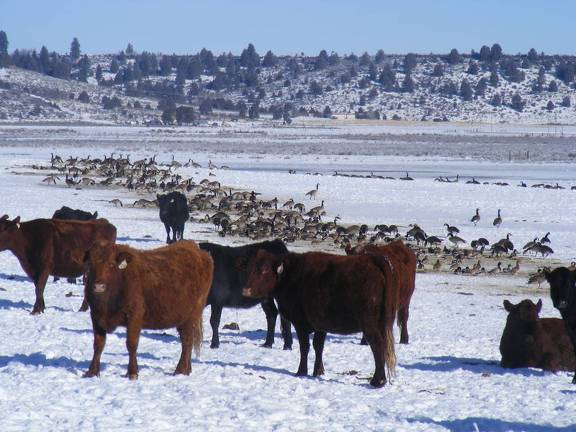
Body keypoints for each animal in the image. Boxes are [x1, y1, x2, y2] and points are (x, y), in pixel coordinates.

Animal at [82, 241, 213, 380]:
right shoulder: (96, 316)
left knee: (187, 341)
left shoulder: (134, 316)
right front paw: (92, 372)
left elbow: (131, 344)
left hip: (192, 315)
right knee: (187, 341)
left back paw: (180, 370)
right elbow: (98, 345)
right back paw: (187, 369)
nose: (99, 286)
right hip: (183, 318)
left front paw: (132, 372)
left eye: (111, 264)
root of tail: (198, 250)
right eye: (91, 264)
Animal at [242, 250, 396, 388]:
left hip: (369, 325)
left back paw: (378, 381)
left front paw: (301, 371)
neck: (291, 276)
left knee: (377, 345)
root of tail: (372, 260)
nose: (245, 290)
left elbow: (305, 347)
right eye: (250, 269)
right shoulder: (321, 325)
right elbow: (318, 346)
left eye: (264, 271)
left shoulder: (300, 323)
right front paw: (318, 371)